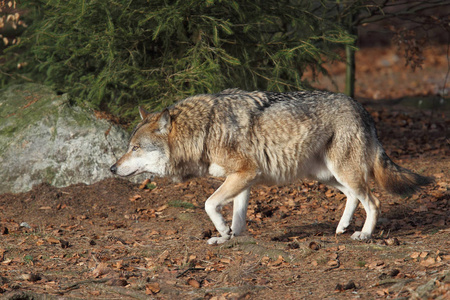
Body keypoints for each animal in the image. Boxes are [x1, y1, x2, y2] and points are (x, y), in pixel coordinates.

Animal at [109, 88, 432, 244]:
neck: (205, 130)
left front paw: (222, 231)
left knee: (373, 200)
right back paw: (341, 227)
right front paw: (228, 238)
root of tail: (361, 106)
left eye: (135, 148)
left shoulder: (244, 174)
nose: (112, 168)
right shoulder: (243, 180)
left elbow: (209, 204)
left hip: (342, 172)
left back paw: (364, 235)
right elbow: (237, 217)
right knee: (355, 196)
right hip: (326, 175)